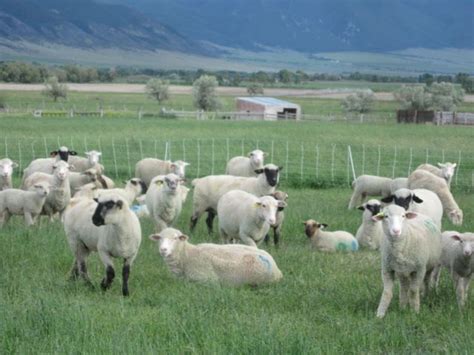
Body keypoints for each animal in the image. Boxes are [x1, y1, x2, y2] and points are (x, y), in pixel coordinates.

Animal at [149, 228, 282, 290]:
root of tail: (277, 270)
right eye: (160, 238)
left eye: (175, 238)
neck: (187, 255)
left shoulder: (207, 280)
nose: (163, 249)